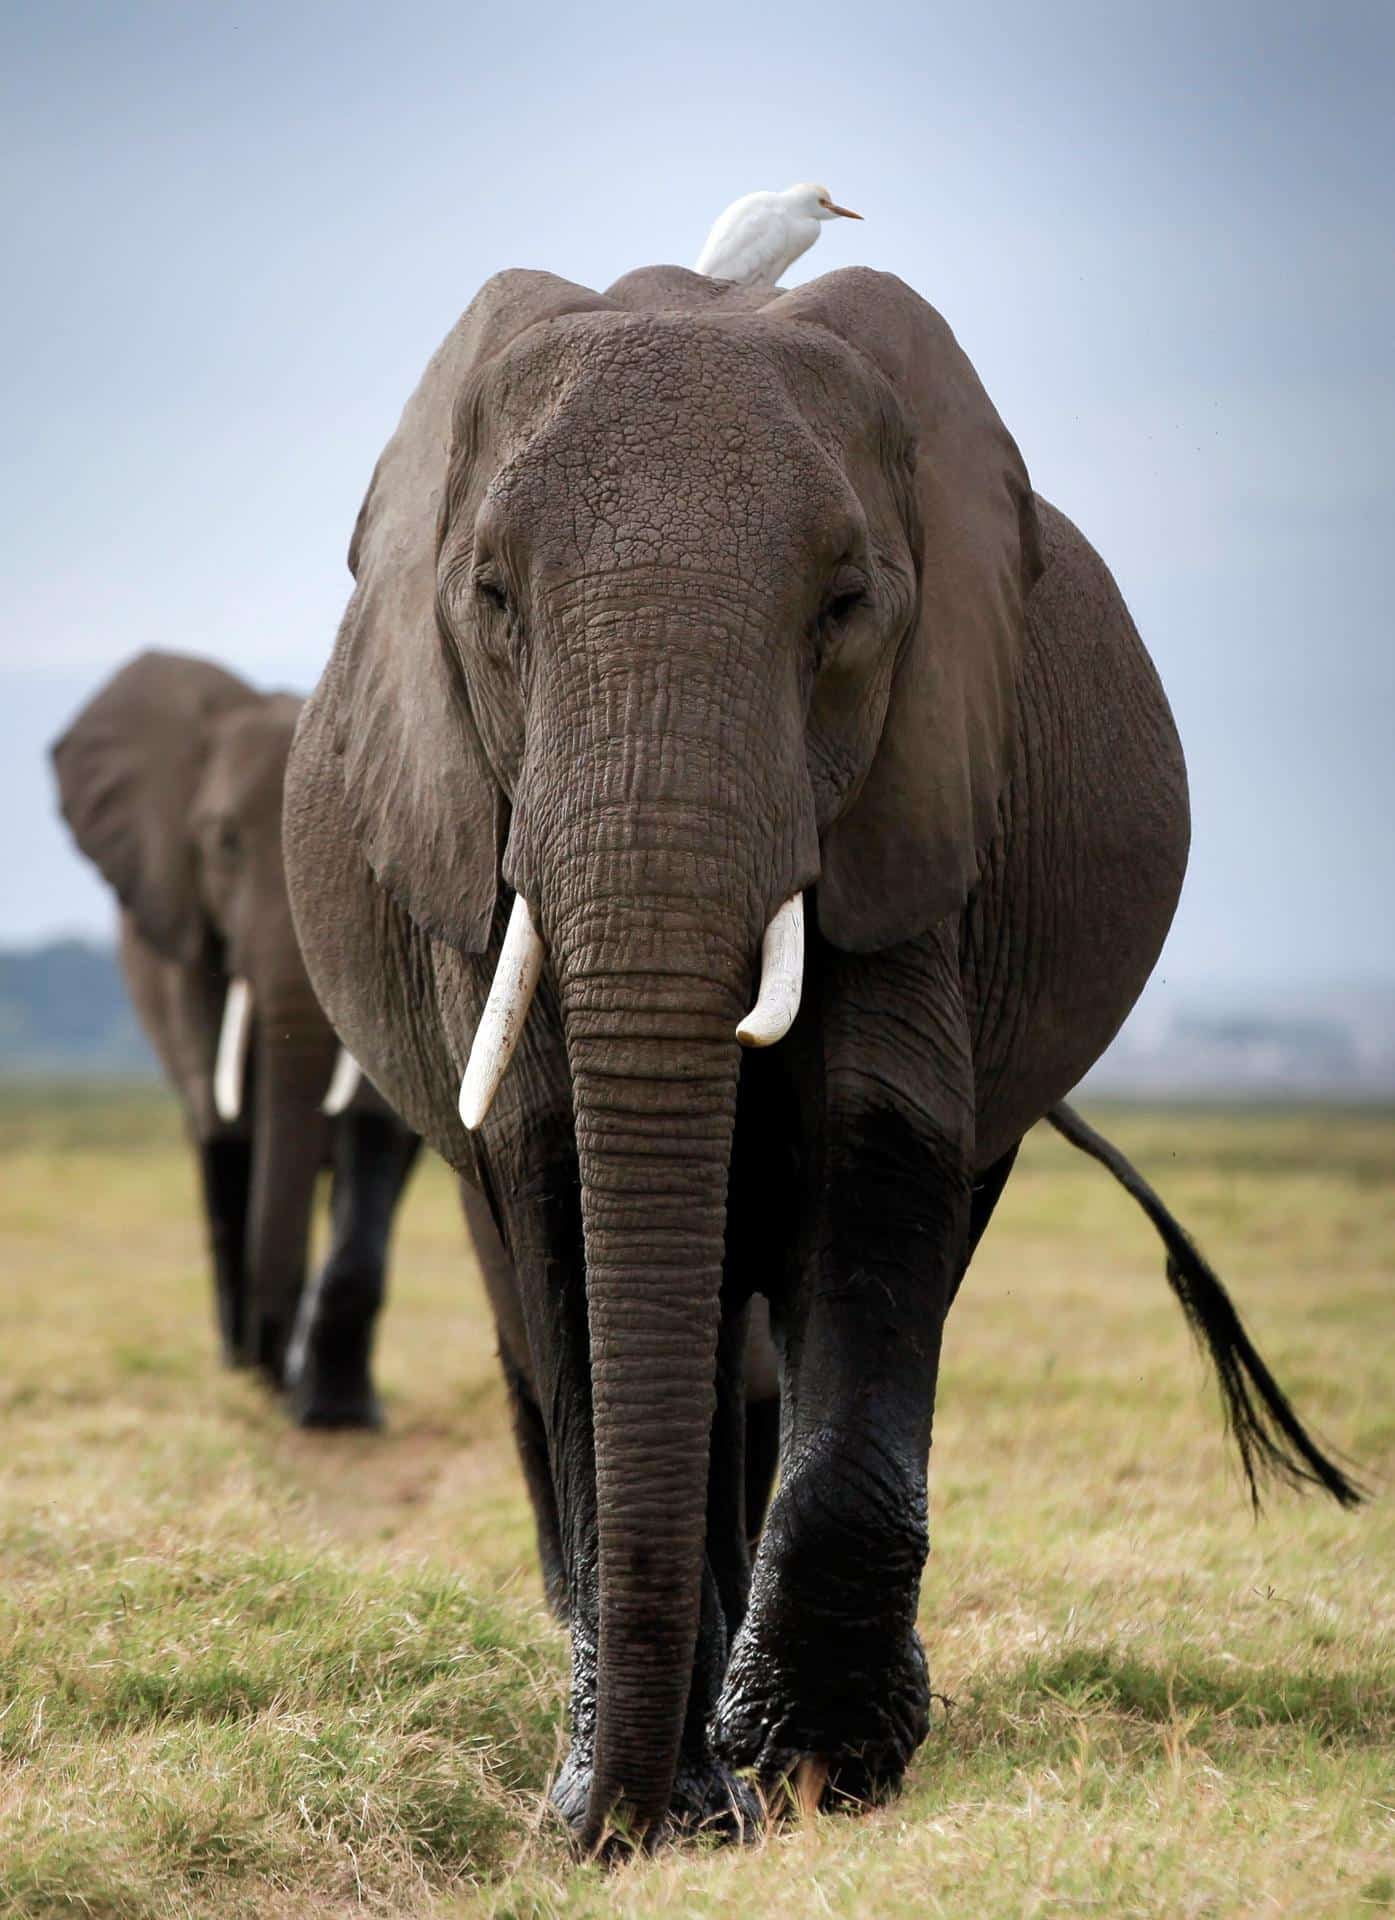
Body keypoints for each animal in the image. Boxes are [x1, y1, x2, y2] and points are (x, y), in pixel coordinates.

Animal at [51, 656, 425, 1428]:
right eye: (225, 843)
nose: (271, 1363)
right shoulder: (191, 939)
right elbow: (232, 1131)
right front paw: (261, 1382)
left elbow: (374, 1128)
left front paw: (336, 1416)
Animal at [278, 266, 1358, 1843]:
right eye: (489, 600)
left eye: (847, 609)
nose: (606, 1825)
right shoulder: (464, 821)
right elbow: (554, 1168)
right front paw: (665, 1803)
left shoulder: (919, 786)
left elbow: (878, 1131)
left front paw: (812, 1766)